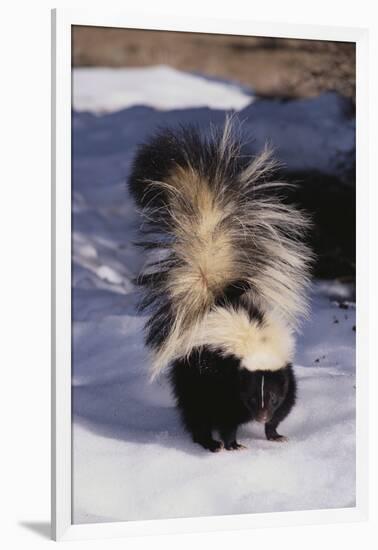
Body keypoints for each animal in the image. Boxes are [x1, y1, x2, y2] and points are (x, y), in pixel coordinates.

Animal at [128, 119, 312, 452]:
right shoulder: (222, 379)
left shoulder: (284, 373)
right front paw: (231, 443)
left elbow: (287, 404)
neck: (256, 343)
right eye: (251, 395)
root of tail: (212, 297)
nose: (261, 416)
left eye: (271, 396)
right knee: (195, 412)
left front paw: (275, 433)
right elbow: (226, 416)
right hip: (192, 374)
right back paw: (207, 442)